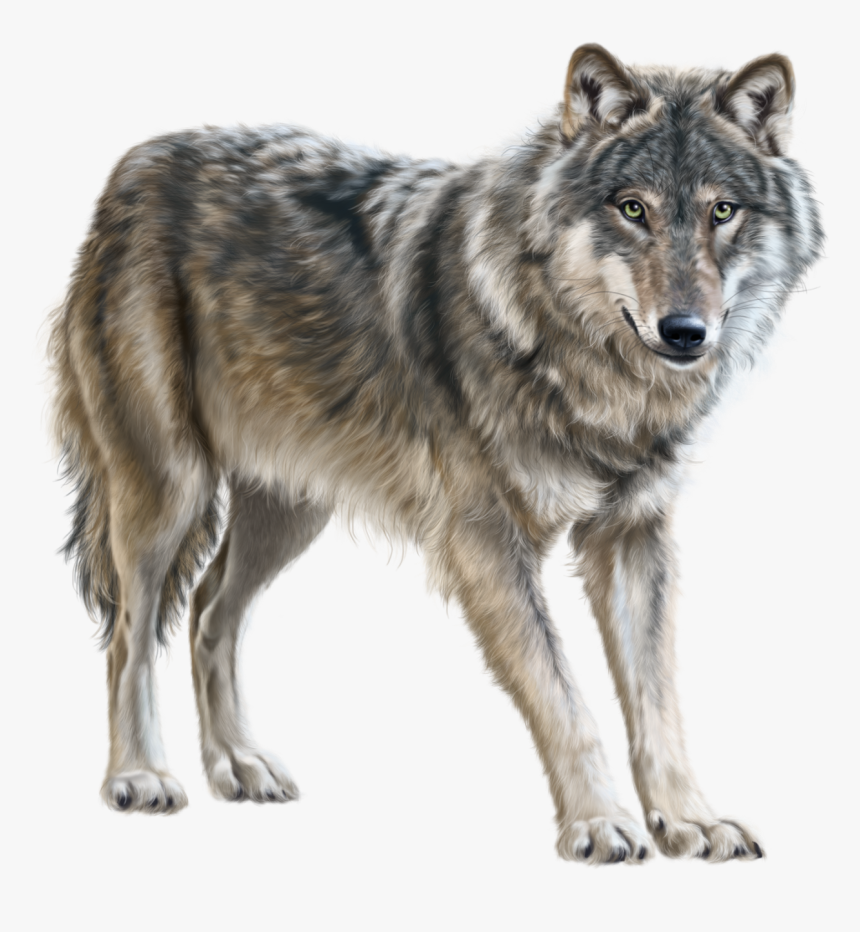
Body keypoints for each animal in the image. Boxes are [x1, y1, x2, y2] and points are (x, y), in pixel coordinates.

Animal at [48, 44, 822, 863]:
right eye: (632, 208)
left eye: (722, 211)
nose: (685, 332)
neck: (581, 365)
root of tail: (136, 164)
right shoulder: (485, 543)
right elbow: (564, 696)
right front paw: (597, 824)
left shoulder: (632, 536)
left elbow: (658, 702)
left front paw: (689, 820)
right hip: (171, 492)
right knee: (129, 634)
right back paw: (139, 776)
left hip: (290, 510)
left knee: (206, 611)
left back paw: (238, 764)